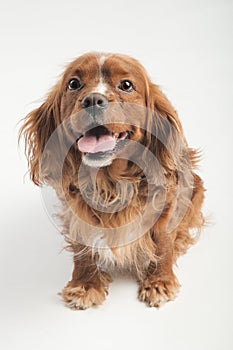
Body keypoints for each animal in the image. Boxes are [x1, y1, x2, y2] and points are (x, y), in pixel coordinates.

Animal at [20, 52, 206, 308]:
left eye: (126, 85)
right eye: (73, 83)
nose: (92, 100)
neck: (110, 183)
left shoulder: (167, 201)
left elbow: (163, 239)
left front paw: (159, 280)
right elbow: (82, 245)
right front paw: (85, 284)